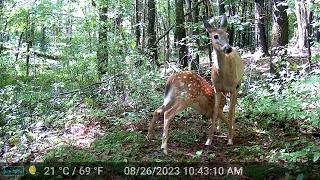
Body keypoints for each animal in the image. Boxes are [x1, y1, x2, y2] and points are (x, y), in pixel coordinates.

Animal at [202, 15, 245, 146]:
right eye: (215, 36)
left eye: (227, 34)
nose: (228, 48)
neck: (223, 75)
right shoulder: (216, 88)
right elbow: (215, 111)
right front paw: (209, 140)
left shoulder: (233, 87)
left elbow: (230, 111)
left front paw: (230, 139)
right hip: (224, 91)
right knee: (223, 106)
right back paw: (218, 128)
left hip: (238, 84)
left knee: (234, 107)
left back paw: (232, 129)